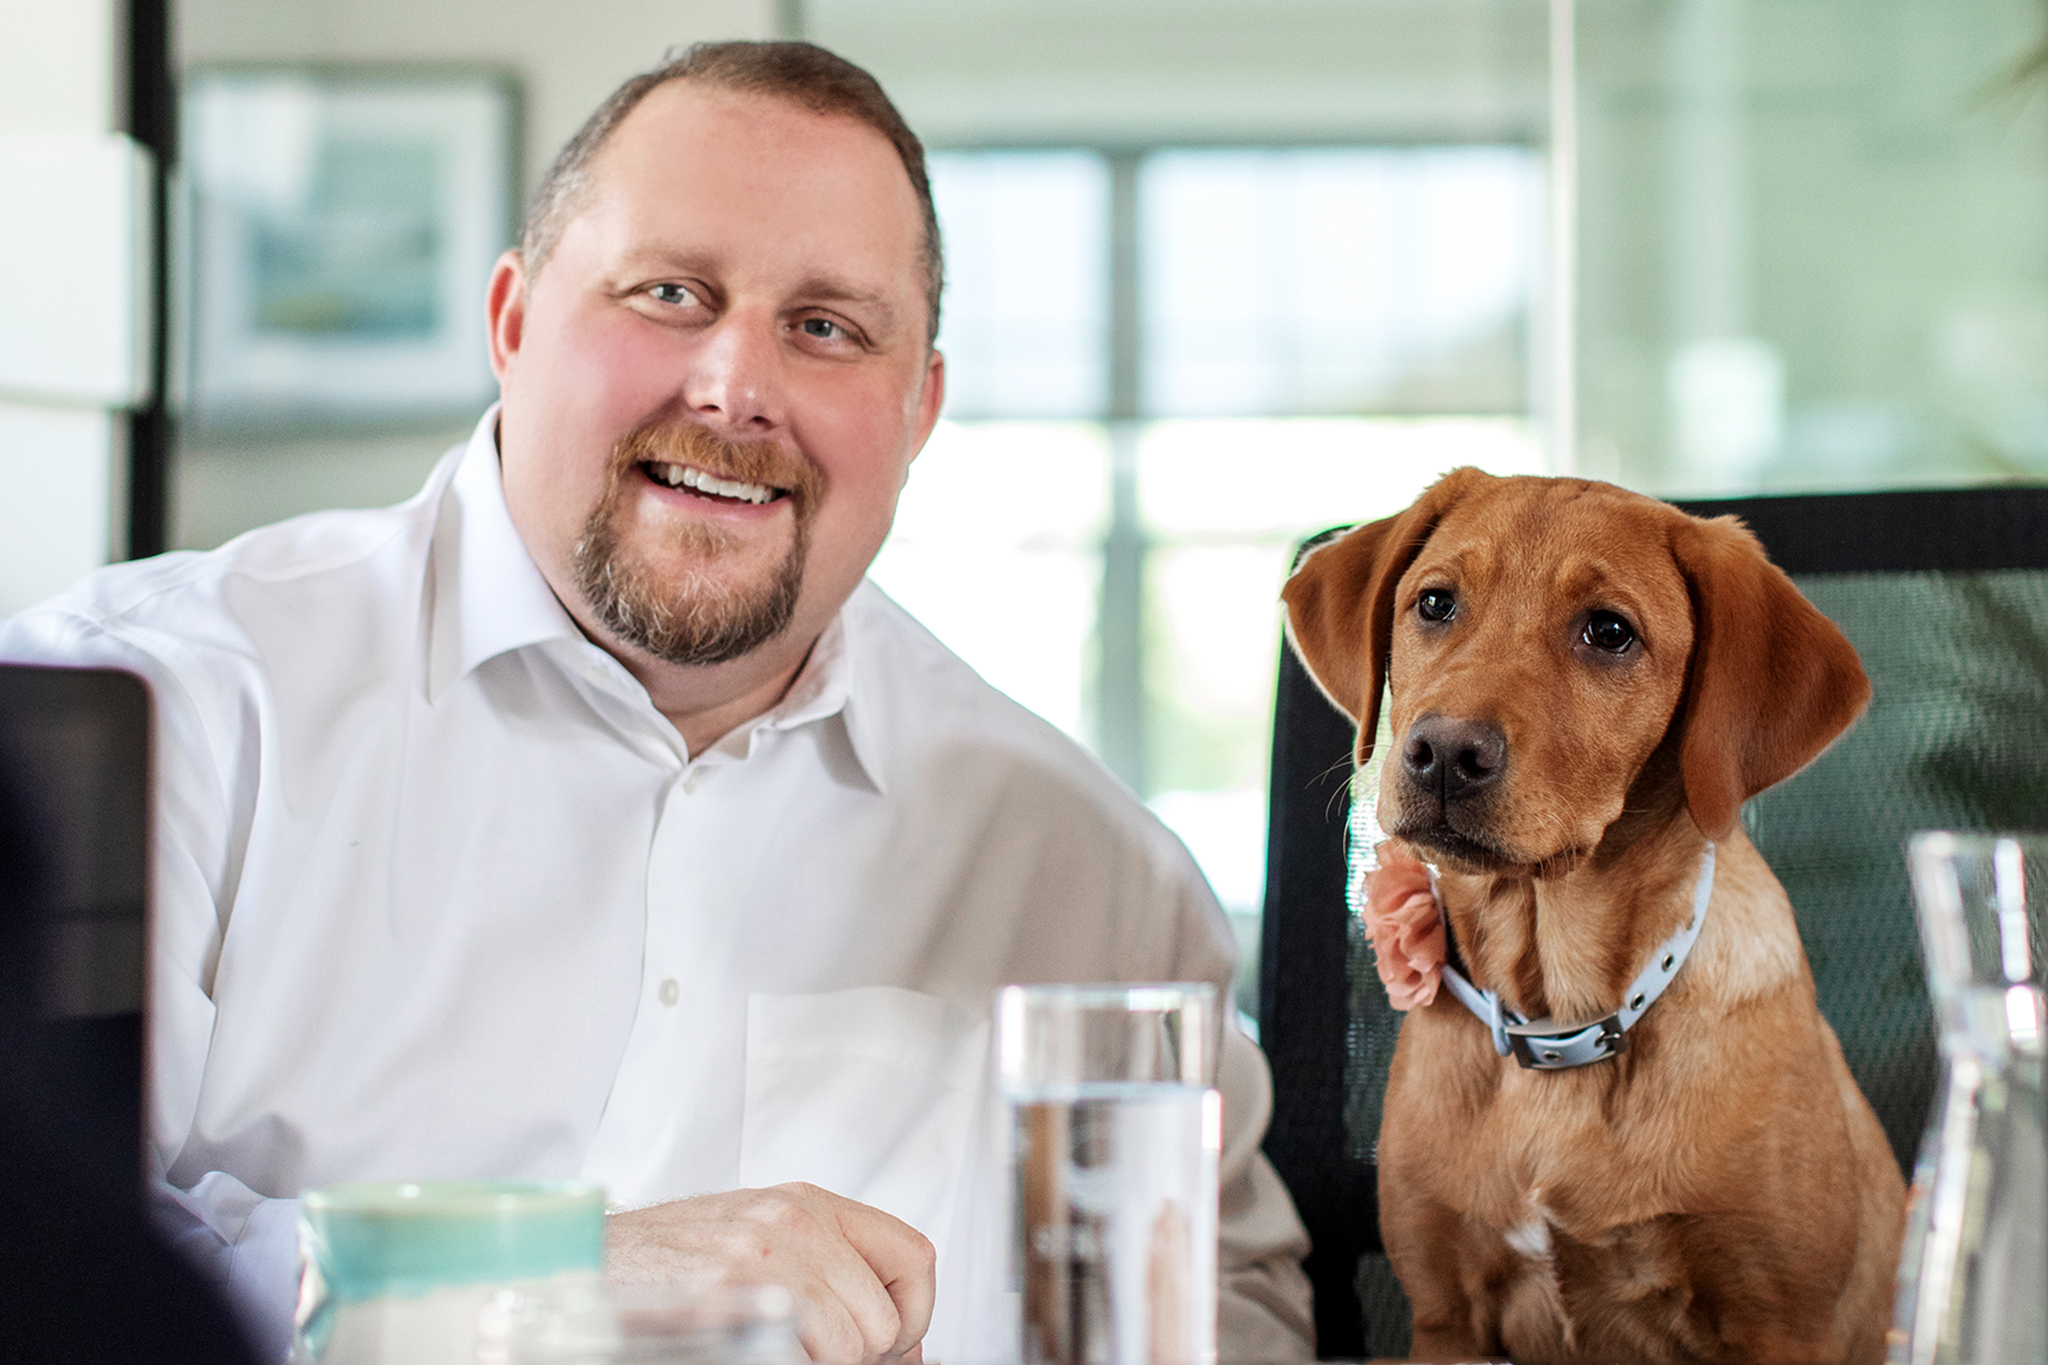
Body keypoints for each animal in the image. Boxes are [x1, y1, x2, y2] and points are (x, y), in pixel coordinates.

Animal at [1286, 470, 1908, 1365]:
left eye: (1609, 631)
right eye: (1435, 602)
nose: (1445, 755)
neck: (1556, 1012)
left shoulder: (1782, 1324)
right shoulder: (1444, 1313)